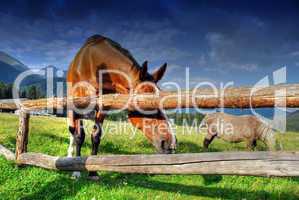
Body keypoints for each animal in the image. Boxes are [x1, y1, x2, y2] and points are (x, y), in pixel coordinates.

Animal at [67, 34, 177, 180]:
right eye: (146, 102)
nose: (171, 144)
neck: (93, 66)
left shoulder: (103, 106)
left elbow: (96, 136)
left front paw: (93, 172)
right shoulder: (77, 104)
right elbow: (79, 136)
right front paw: (76, 170)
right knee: (72, 132)